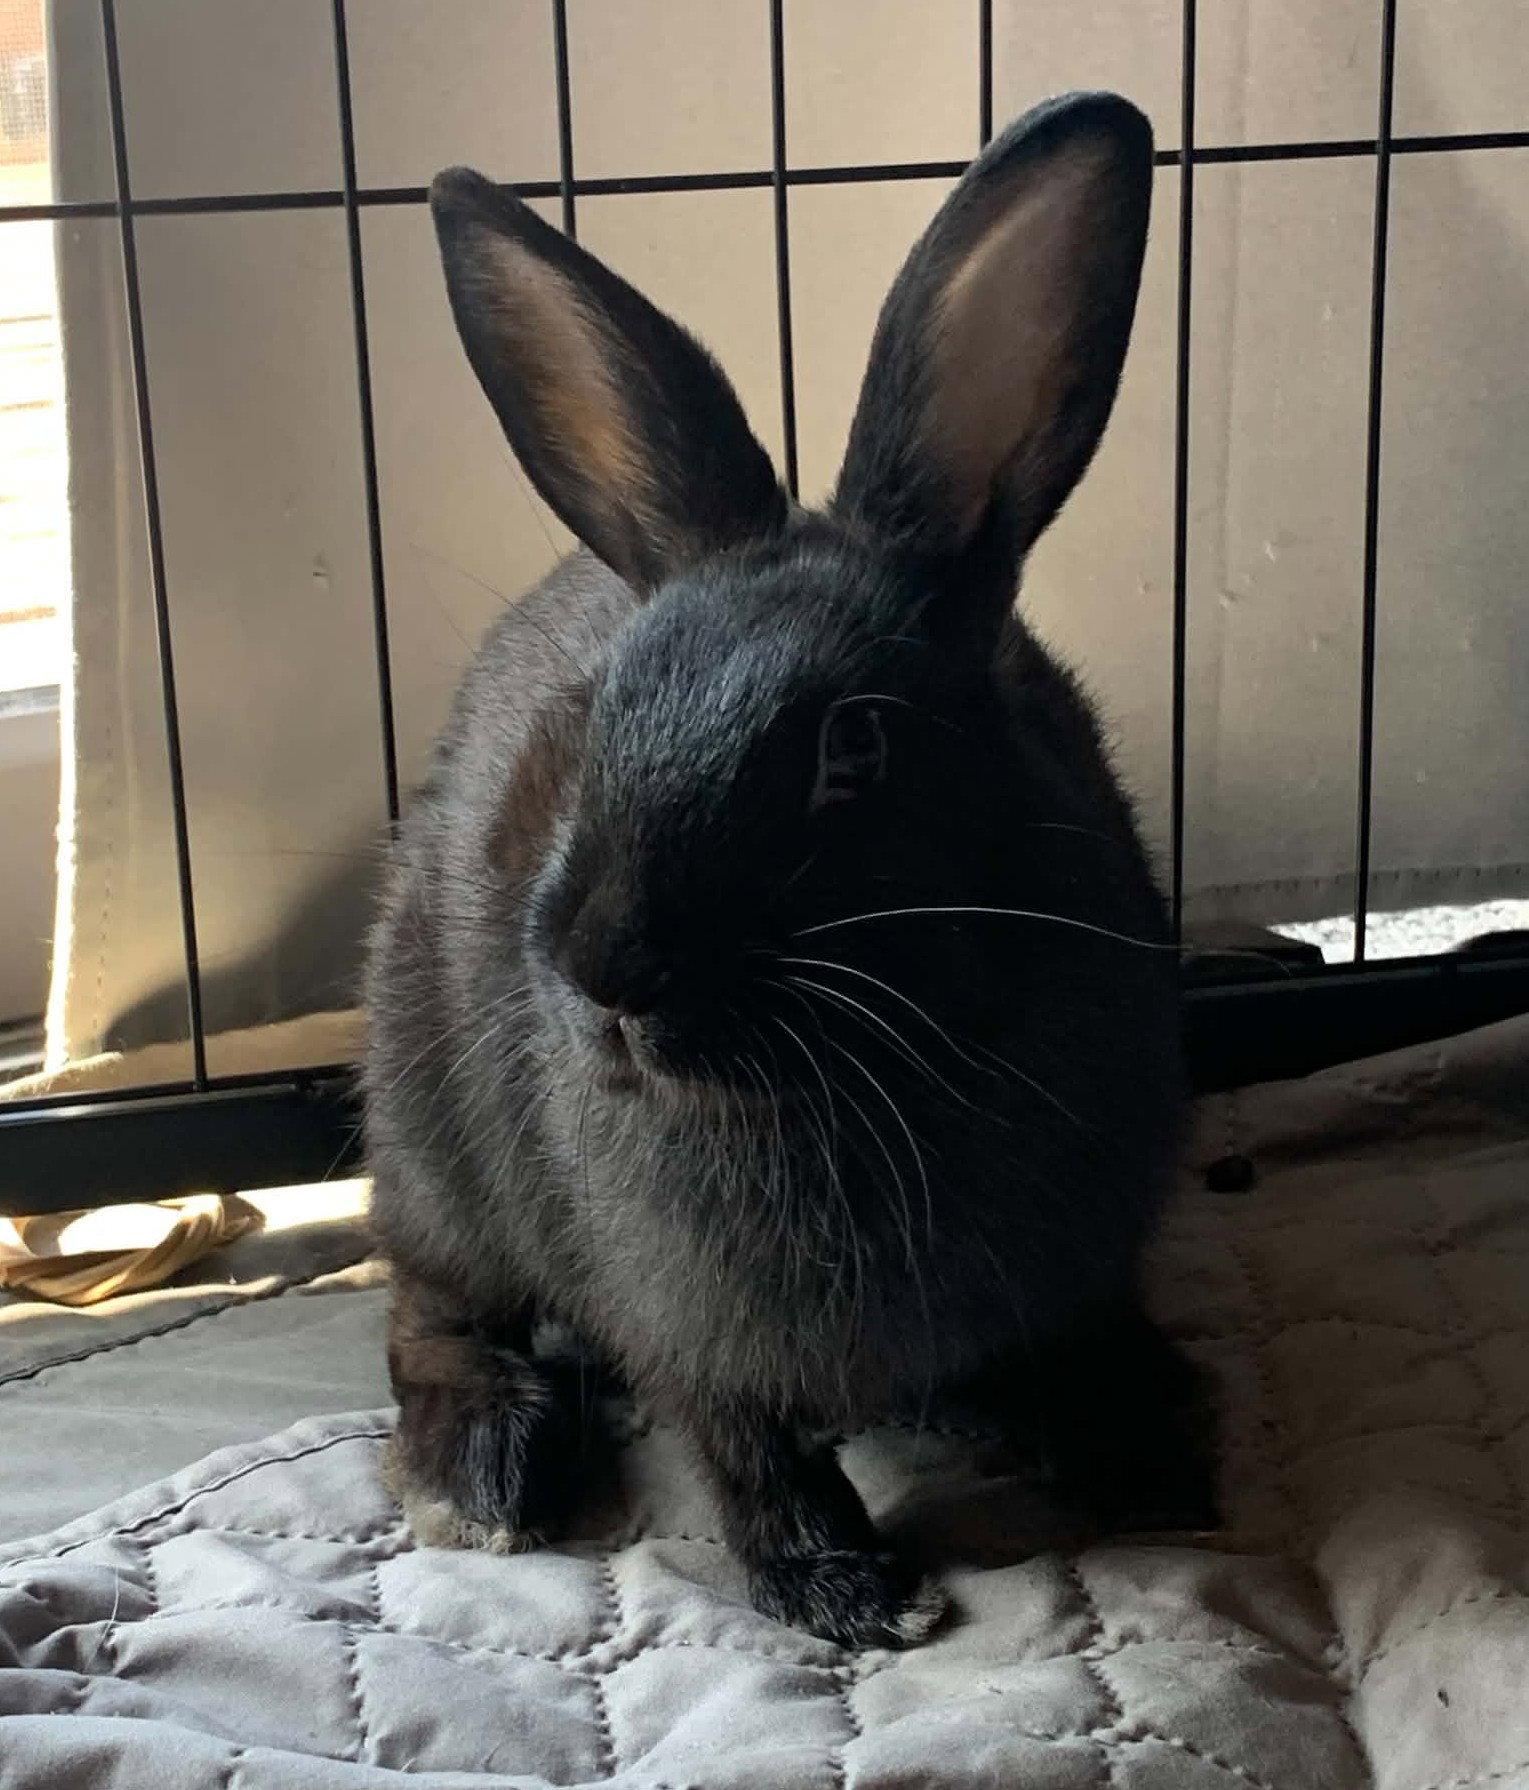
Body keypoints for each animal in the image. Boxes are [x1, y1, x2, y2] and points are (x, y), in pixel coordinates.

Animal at [366, 91, 1217, 1651]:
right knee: (431, 1303)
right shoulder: (693, 1335)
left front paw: (1155, 1462)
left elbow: (1088, 1349)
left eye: (853, 744)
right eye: (600, 717)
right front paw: (844, 1590)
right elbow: (741, 1445)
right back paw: (483, 1472)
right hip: (425, 1128)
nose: (603, 971)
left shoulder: (1083, 1271)